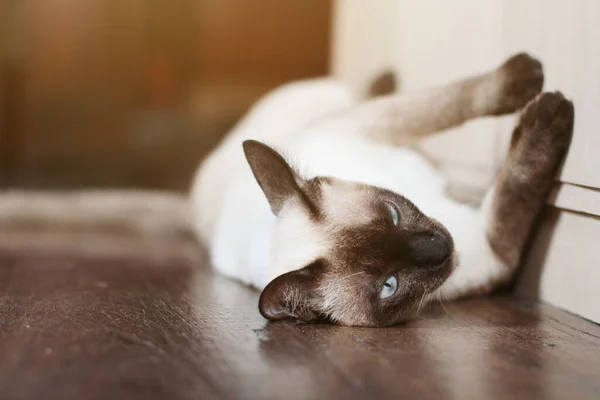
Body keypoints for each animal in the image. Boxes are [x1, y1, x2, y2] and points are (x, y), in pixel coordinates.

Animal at [0, 54, 576, 328]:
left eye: (392, 213)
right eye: (389, 286)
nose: (439, 246)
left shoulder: (373, 127)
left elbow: (449, 100)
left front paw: (529, 80)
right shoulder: (492, 252)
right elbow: (521, 180)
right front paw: (551, 110)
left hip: (335, 105)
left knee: (372, 92)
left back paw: (385, 77)